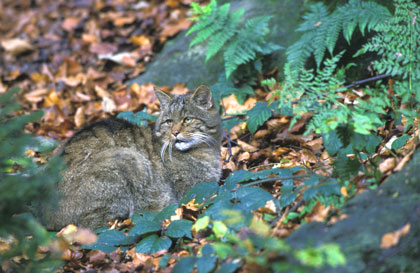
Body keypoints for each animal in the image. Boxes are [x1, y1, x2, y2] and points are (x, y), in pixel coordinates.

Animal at [41, 85, 223, 230]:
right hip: (128, 158)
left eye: (187, 119)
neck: (207, 149)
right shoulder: (194, 190)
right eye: (169, 122)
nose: (175, 133)